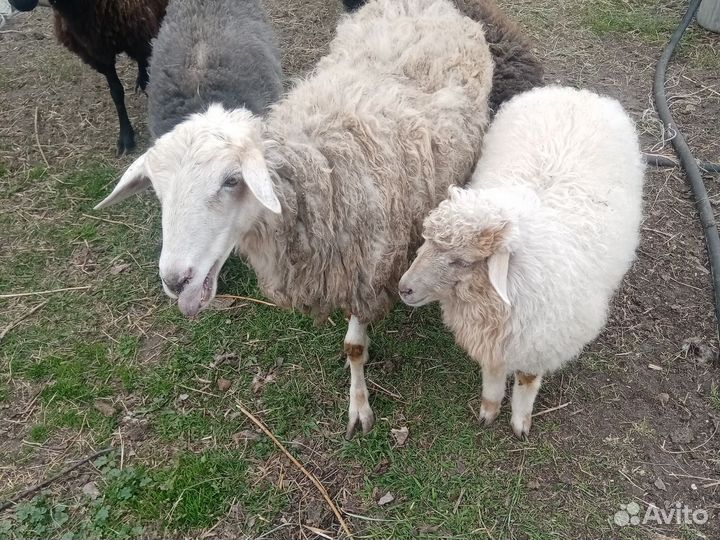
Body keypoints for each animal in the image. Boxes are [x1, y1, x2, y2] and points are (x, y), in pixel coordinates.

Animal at [399, 86, 645, 437]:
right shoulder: (494, 341)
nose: (403, 288)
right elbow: (492, 375)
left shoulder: (539, 343)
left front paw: (520, 422)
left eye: (461, 261)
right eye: (427, 242)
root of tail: (575, 93)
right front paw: (488, 412)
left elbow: (526, 382)